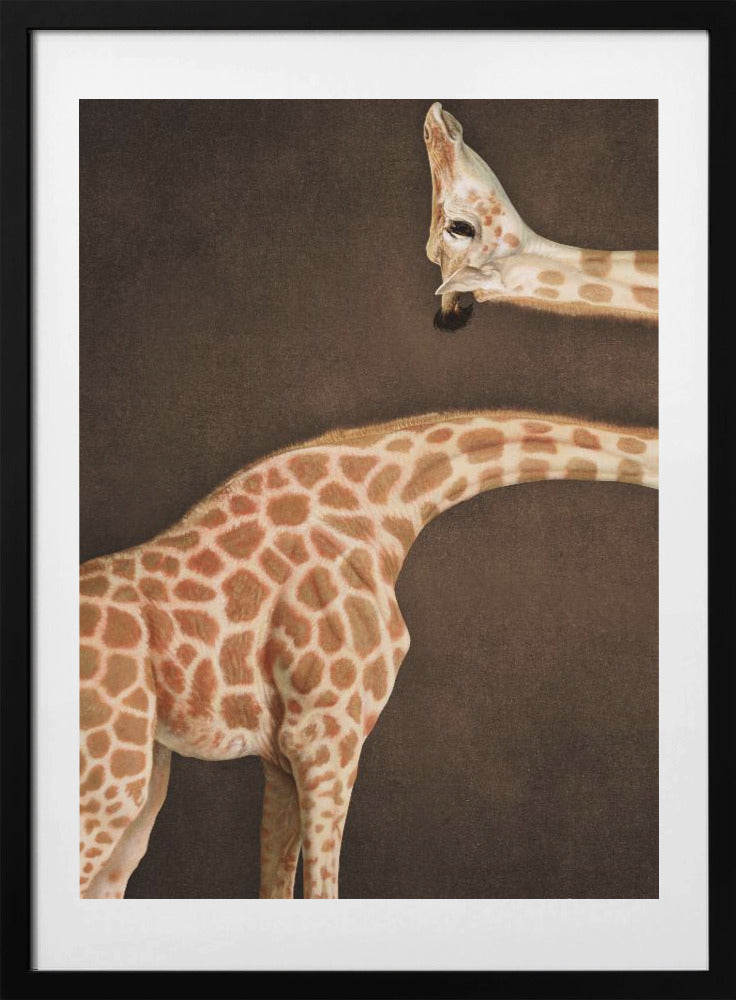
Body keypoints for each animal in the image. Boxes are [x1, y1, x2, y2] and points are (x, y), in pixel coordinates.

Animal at [80, 408, 658, 899]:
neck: (389, 502)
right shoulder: (324, 735)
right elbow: (323, 890)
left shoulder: (281, 755)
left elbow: (277, 887)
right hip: (112, 778)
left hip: (145, 779)